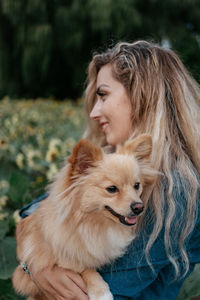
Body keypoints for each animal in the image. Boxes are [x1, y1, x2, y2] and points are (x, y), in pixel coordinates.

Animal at [12, 135, 156, 298]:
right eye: (112, 189)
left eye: (137, 185)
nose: (139, 207)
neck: (90, 223)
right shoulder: (57, 260)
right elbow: (84, 268)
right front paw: (101, 293)